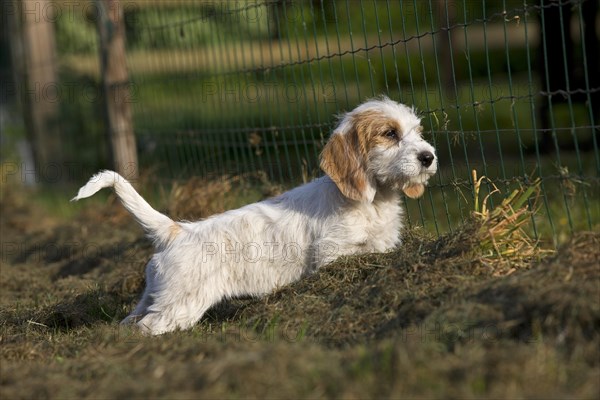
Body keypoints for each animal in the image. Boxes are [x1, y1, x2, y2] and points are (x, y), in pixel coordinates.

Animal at [72, 97, 438, 334]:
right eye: (389, 134)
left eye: (418, 132)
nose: (429, 156)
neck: (372, 201)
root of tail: (177, 230)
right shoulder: (335, 254)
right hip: (179, 306)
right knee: (148, 328)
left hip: (153, 295)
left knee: (128, 322)